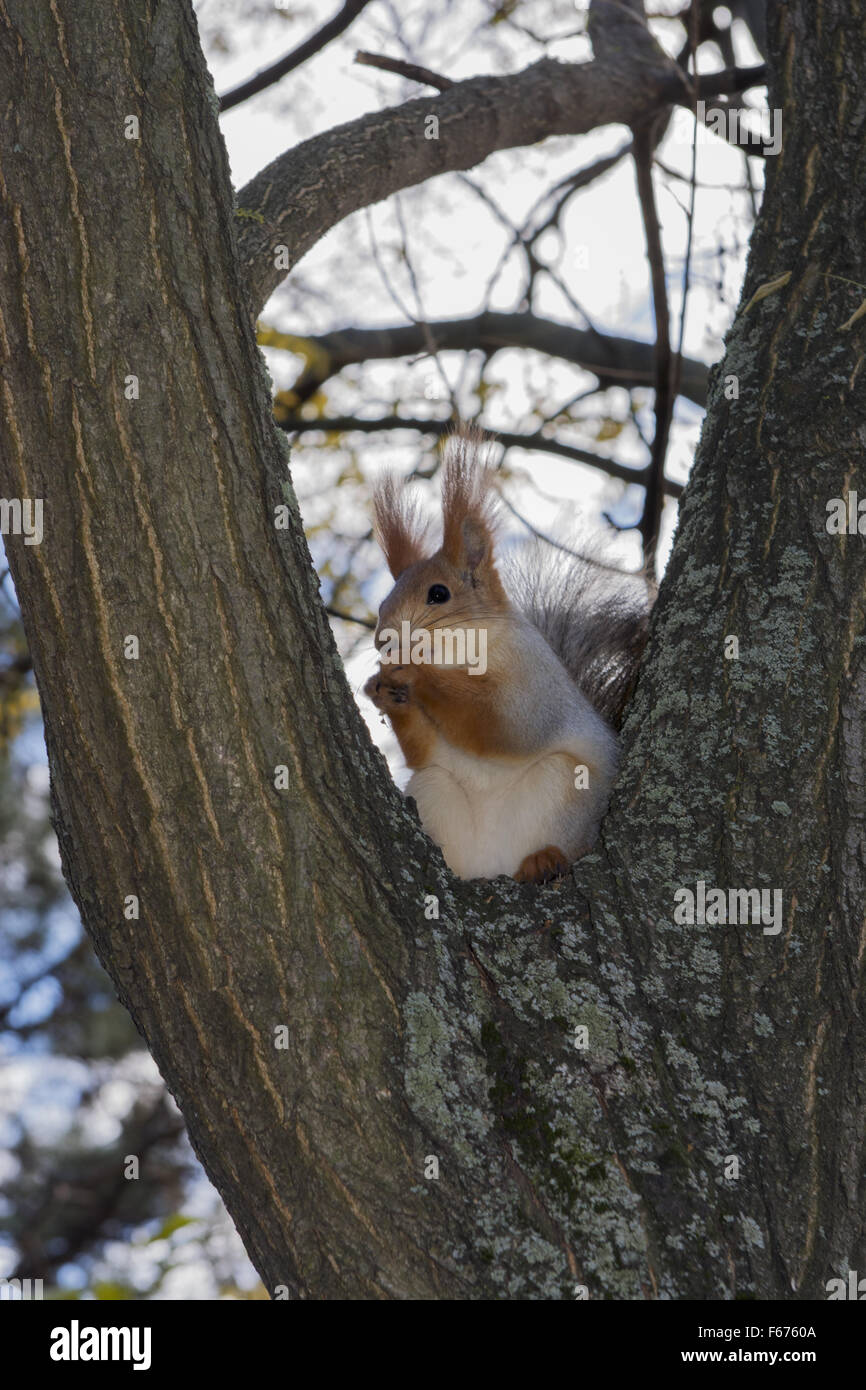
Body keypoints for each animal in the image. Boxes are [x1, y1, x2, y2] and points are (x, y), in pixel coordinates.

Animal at [361, 425, 650, 878]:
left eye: (438, 594)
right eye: (382, 603)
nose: (384, 640)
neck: (458, 659)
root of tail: (494, 864)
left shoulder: (532, 681)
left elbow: (502, 723)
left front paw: (414, 672)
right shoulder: (433, 751)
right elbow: (424, 751)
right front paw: (382, 690)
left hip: (564, 786)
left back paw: (544, 860)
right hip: (435, 790)